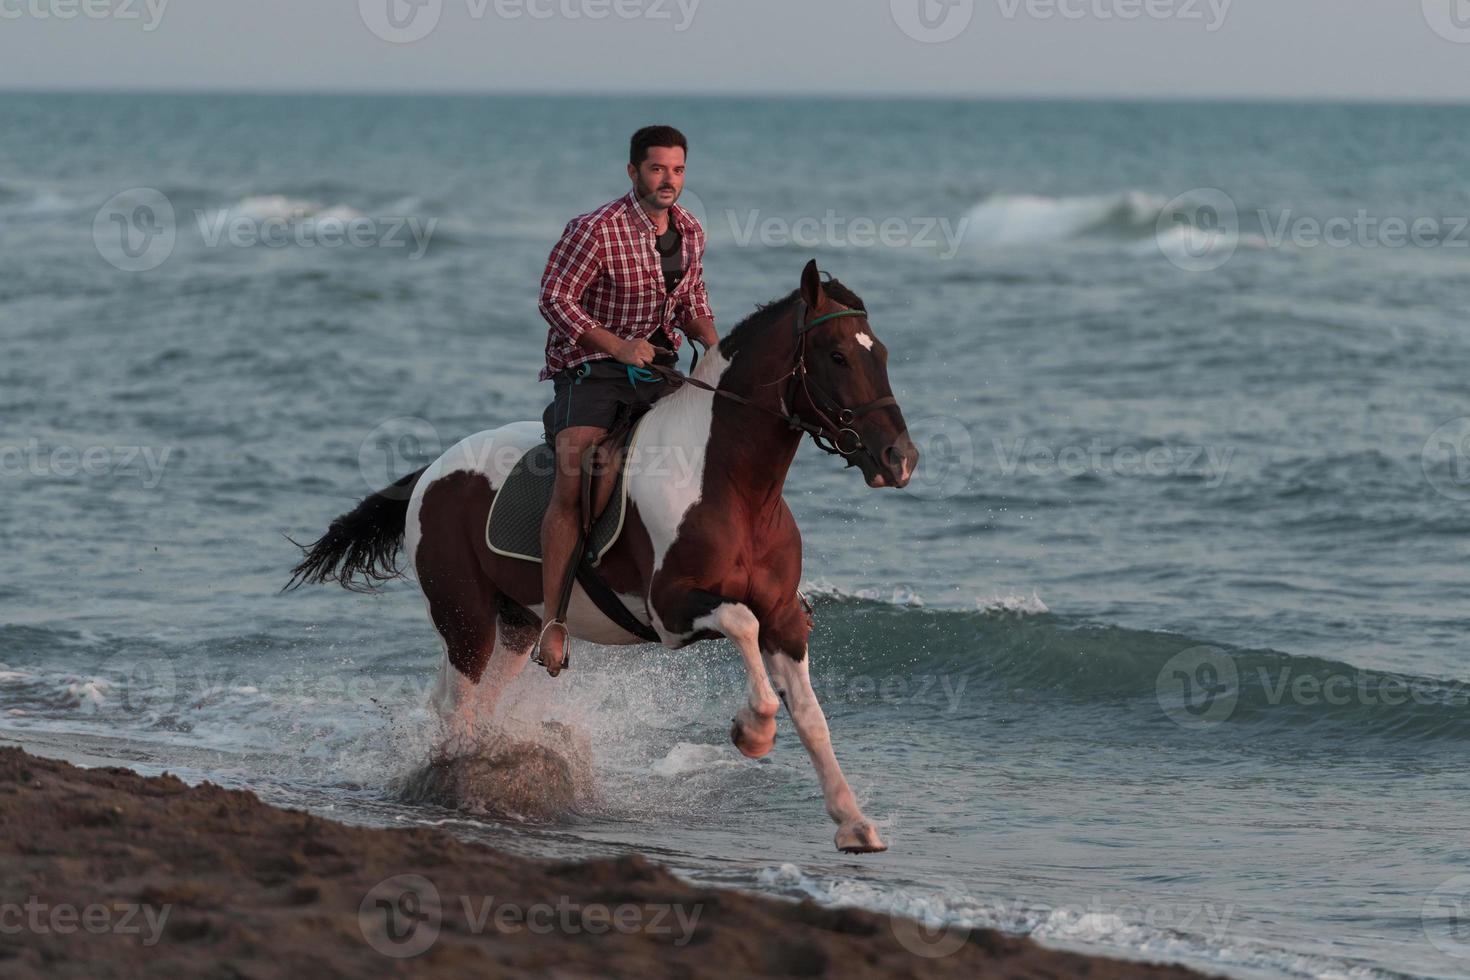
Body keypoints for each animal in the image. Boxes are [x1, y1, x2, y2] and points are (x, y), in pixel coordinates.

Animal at [286, 260, 917, 852]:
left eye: (883, 353)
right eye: (837, 356)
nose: (899, 458)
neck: (732, 486)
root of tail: (432, 470)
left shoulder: (783, 616)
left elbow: (811, 715)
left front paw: (854, 823)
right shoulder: (672, 611)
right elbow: (741, 624)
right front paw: (752, 731)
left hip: (516, 625)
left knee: (470, 700)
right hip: (465, 619)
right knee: (459, 706)